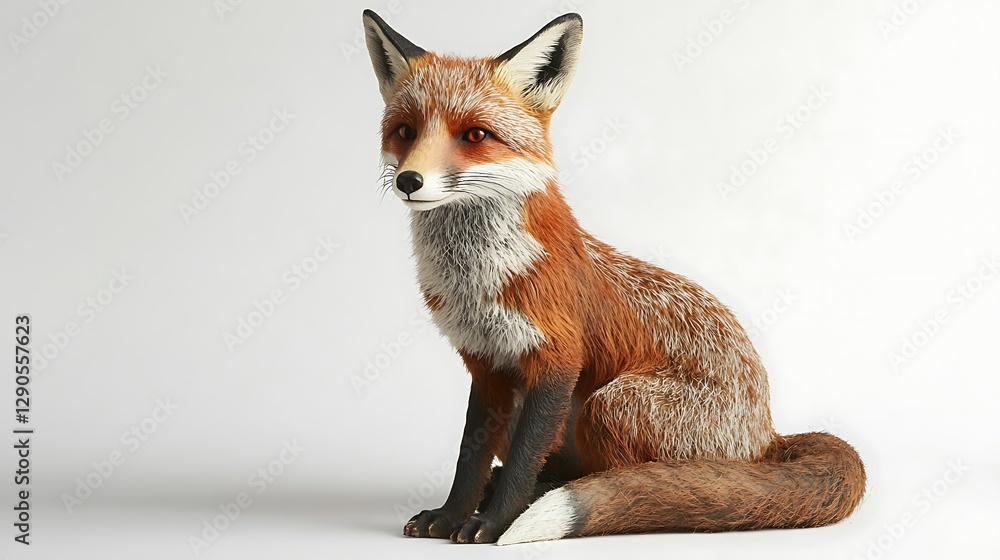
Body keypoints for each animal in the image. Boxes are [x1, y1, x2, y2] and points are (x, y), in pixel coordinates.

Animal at [362, 9, 866, 545]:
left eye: (475, 136)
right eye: (405, 131)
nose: (409, 181)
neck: (477, 281)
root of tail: (765, 433)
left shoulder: (557, 358)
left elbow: (522, 461)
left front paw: (496, 522)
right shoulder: (486, 365)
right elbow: (469, 456)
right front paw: (451, 515)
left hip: (608, 404)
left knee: (622, 478)